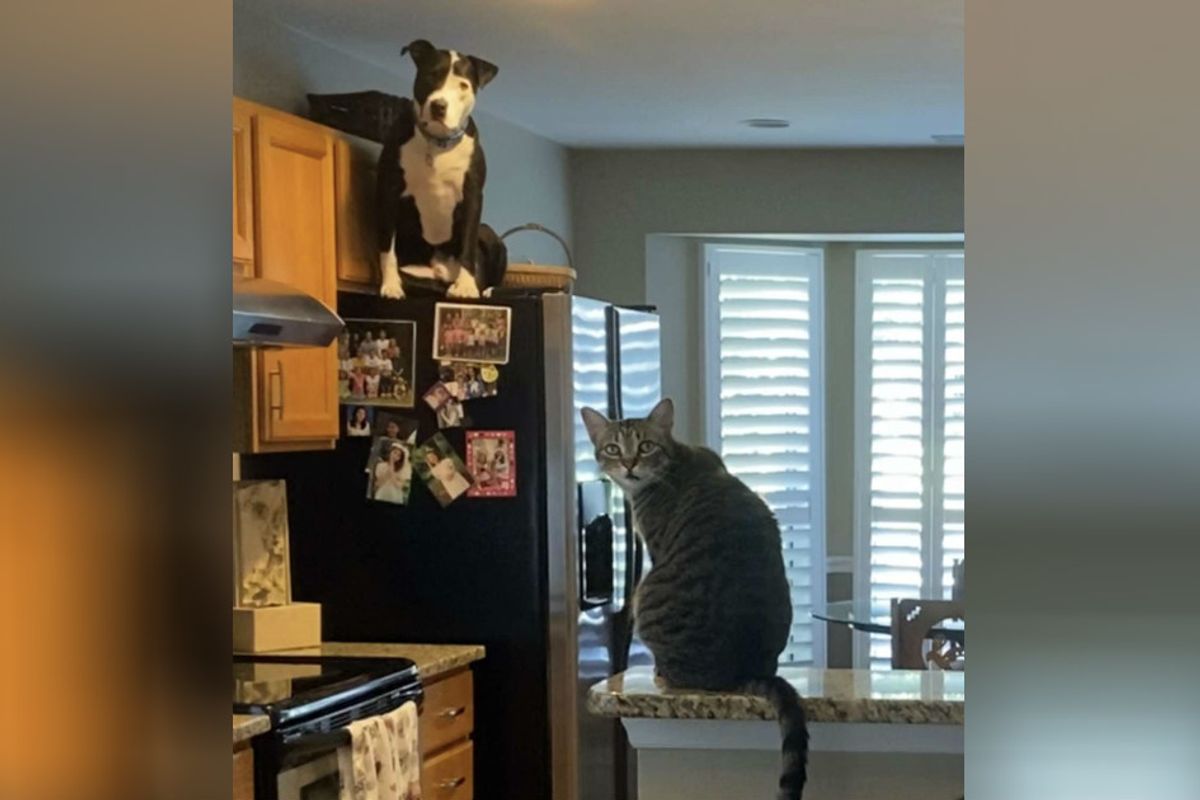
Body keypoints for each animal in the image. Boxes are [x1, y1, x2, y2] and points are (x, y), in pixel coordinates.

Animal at [374, 38, 506, 299]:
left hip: (493, 238)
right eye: (430, 75)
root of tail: (439, 270)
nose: (438, 106)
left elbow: (468, 245)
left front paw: (466, 287)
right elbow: (387, 247)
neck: (437, 142)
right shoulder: (389, 190)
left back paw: (485, 290)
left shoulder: (473, 196)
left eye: (463, 85)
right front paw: (391, 284)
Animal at [578, 398, 806, 796]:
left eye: (645, 446)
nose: (629, 463)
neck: (674, 462)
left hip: (644, 593)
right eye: (612, 448)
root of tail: (744, 667)